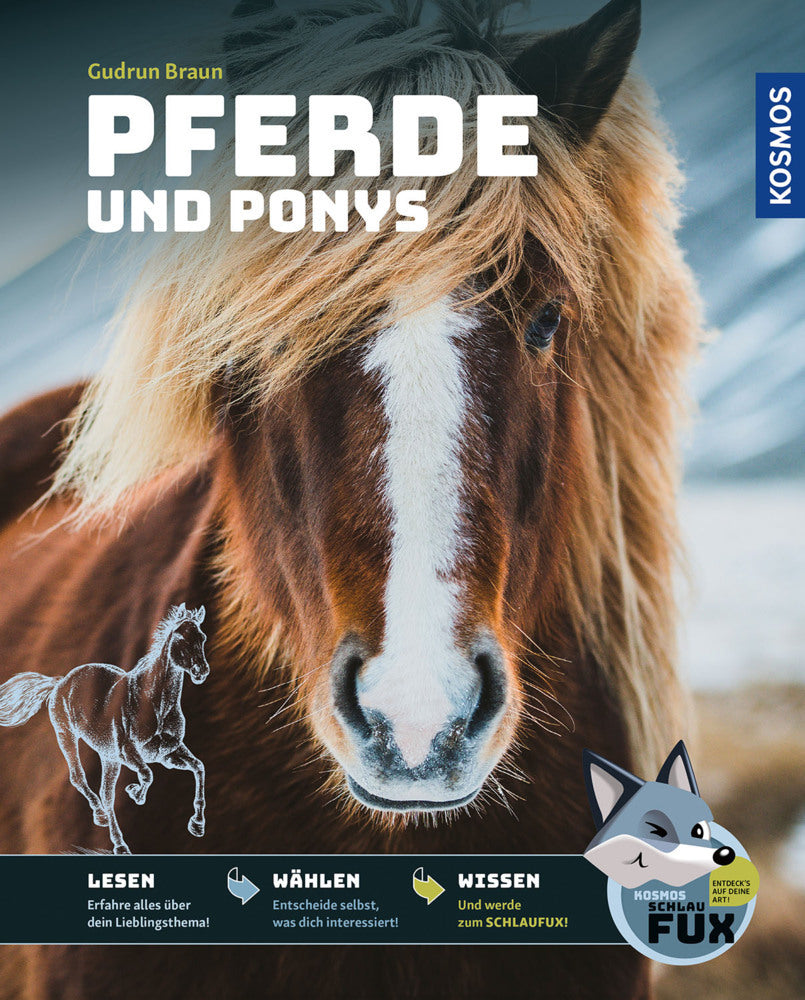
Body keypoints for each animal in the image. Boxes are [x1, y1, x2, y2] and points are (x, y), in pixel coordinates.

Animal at [0, 604, 209, 854]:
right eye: (180, 638)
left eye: (202, 637)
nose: (201, 671)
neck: (155, 704)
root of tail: (60, 682)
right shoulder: (128, 753)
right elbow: (147, 774)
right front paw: (135, 793)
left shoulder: (167, 753)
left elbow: (198, 768)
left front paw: (197, 825)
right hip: (68, 737)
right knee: (80, 779)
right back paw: (112, 832)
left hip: (108, 757)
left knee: (106, 794)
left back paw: (110, 829)